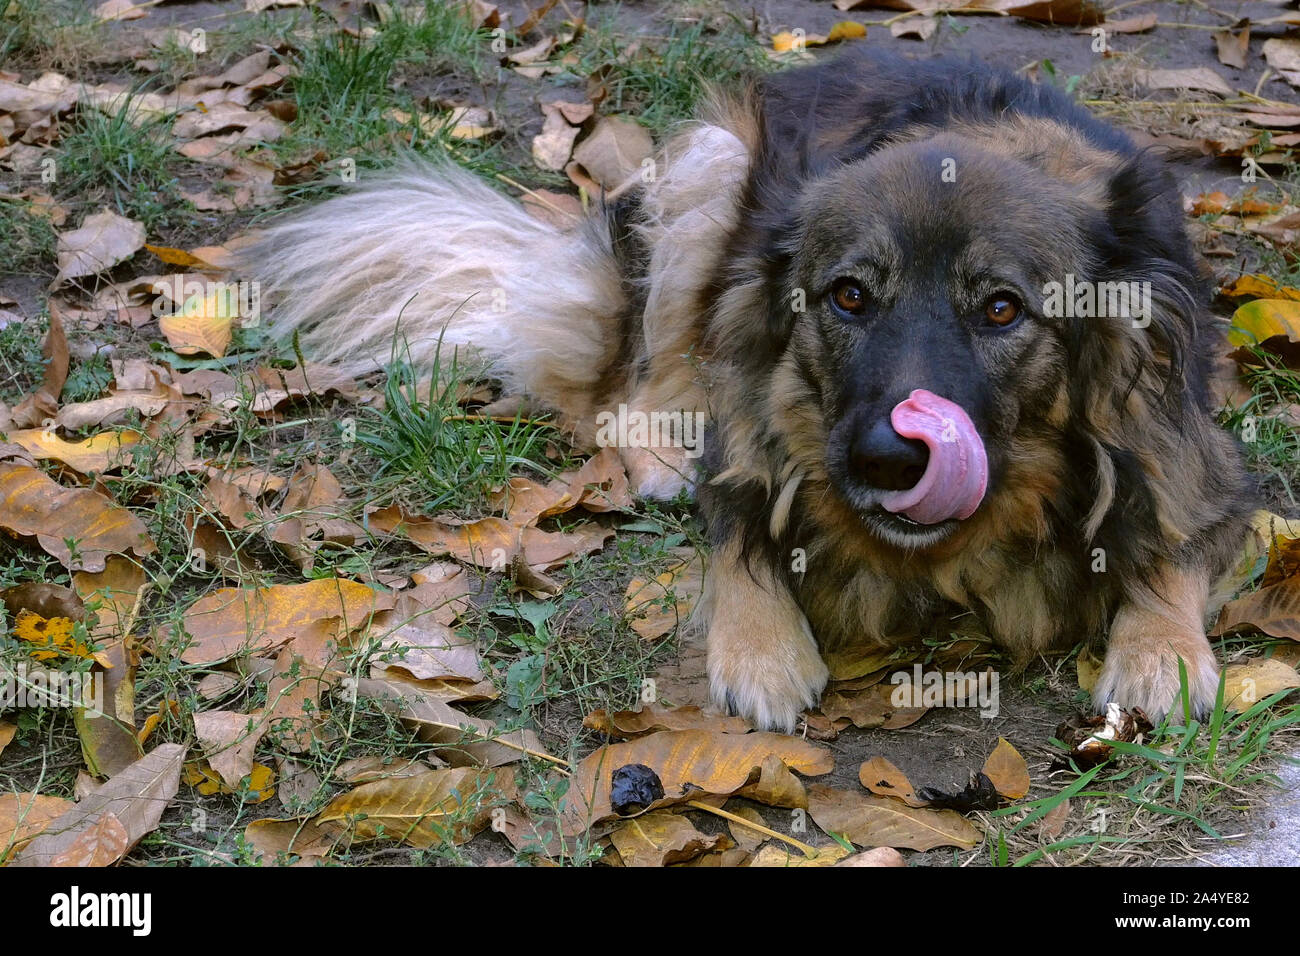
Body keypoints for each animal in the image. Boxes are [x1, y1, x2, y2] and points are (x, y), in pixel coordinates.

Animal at [239, 46, 1253, 733]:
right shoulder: (754, 432)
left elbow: (1174, 538)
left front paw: (1161, 653)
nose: (888, 460)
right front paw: (761, 650)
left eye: (1002, 309)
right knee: (631, 387)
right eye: (849, 296)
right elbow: (736, 529)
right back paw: (658, 450)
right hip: (715, 180)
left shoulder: (1197, 449)